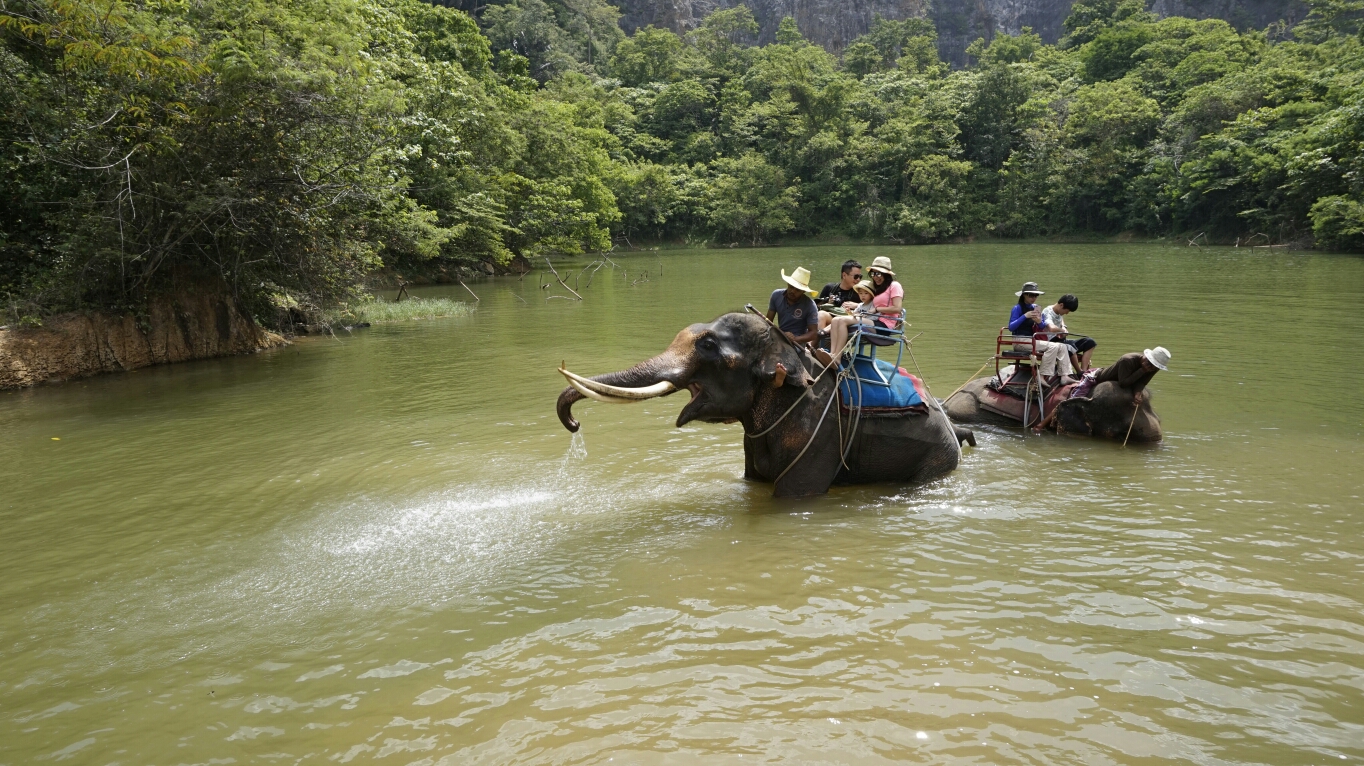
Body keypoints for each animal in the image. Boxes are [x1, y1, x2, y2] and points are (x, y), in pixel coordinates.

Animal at [553, 310, 971, 496]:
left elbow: (793, 495)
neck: (784, 351)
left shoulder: (820, 431)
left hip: (936, 457)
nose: (574, 425)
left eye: (708, 346)